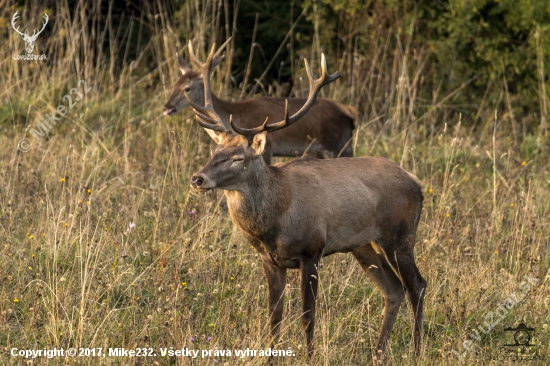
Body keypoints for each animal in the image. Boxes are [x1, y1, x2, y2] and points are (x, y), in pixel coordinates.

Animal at [163, 38, 358, 163]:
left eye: (186, 88)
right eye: (174, 83)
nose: (166, 107)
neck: (233, 114)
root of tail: (350, 112)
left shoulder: (268, 148)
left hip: (341, 144)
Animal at [188, 44, 430, 362]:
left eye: (237, 157)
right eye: (214, 151)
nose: (197, 178)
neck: (276, 223)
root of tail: (416, 183)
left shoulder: (311, 251)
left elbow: (307, 315)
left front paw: (310, 356)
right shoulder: (270, 261)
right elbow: (274, 315)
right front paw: (269, 357)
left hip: (400, 236)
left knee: (417, 286)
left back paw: (416, 350)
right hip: (365, 245)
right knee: (393, 290)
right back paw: (378, 353)